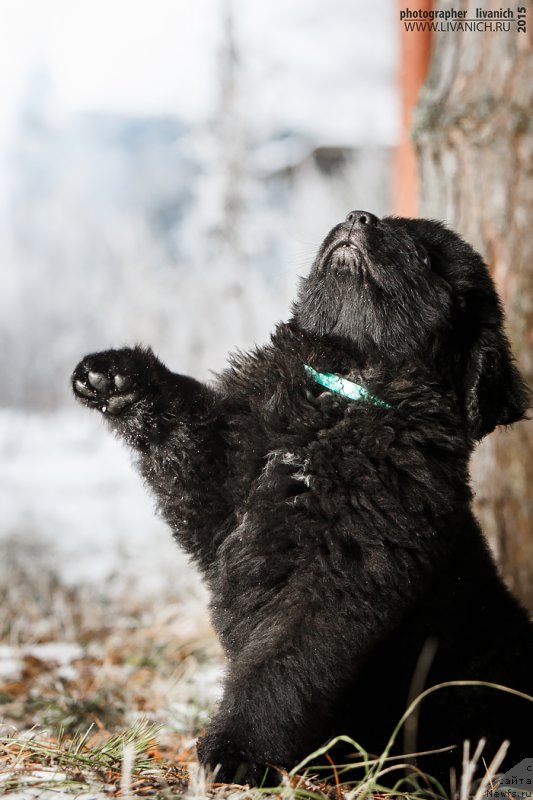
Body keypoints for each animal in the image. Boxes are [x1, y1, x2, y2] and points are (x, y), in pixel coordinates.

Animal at [72, 211, 528, 788]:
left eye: (424, 257)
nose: (358, 216)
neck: (341, 393)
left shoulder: (335, 580)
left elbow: (278, 670)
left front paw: (236, 752)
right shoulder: (219, 494)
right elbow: (183, 425)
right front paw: (119, 377)